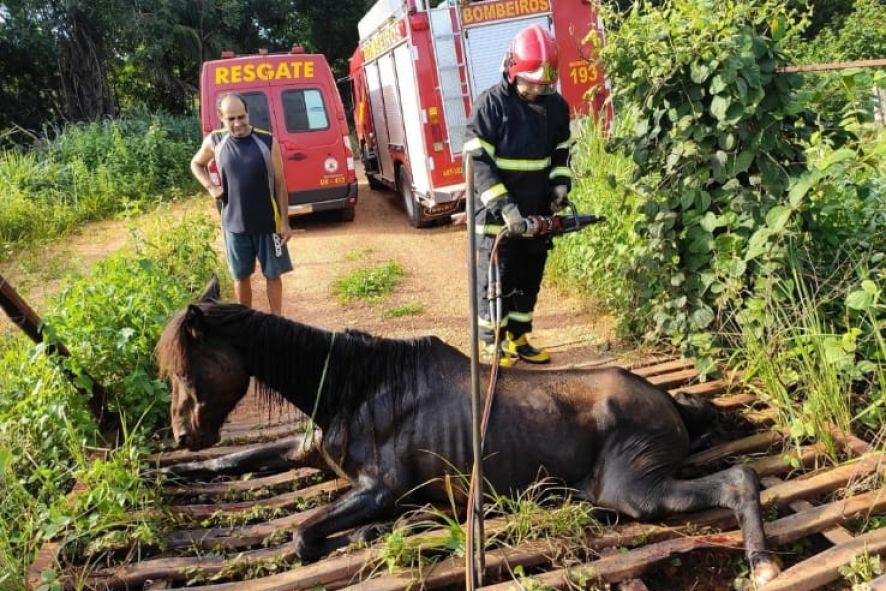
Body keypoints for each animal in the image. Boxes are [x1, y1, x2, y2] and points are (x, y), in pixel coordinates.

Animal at [156, 306, 780, 588]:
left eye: (187, 370)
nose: (184, 433)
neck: (353, 388)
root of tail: (669, 402)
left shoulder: (382, 488)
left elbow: (303, 536)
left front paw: (371, 533)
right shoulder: (302, 452)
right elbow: (229, 462)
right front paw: (169, 476)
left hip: (632, 490)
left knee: (739, 479)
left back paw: (765, 563)